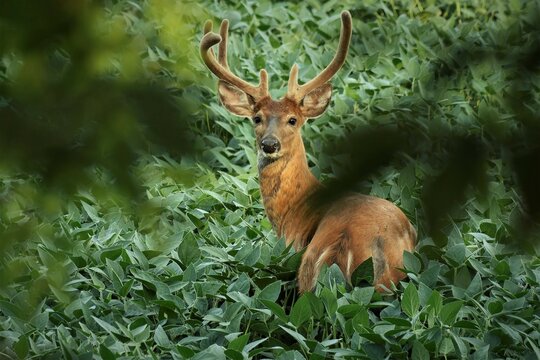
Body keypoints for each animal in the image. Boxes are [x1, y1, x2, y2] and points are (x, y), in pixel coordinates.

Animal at [200, 10, 416, 292]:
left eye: (292, 120)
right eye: (257, 118)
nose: (269, 144)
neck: (294, 211)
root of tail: (344, 245)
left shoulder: (289, 247)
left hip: (306, 267)